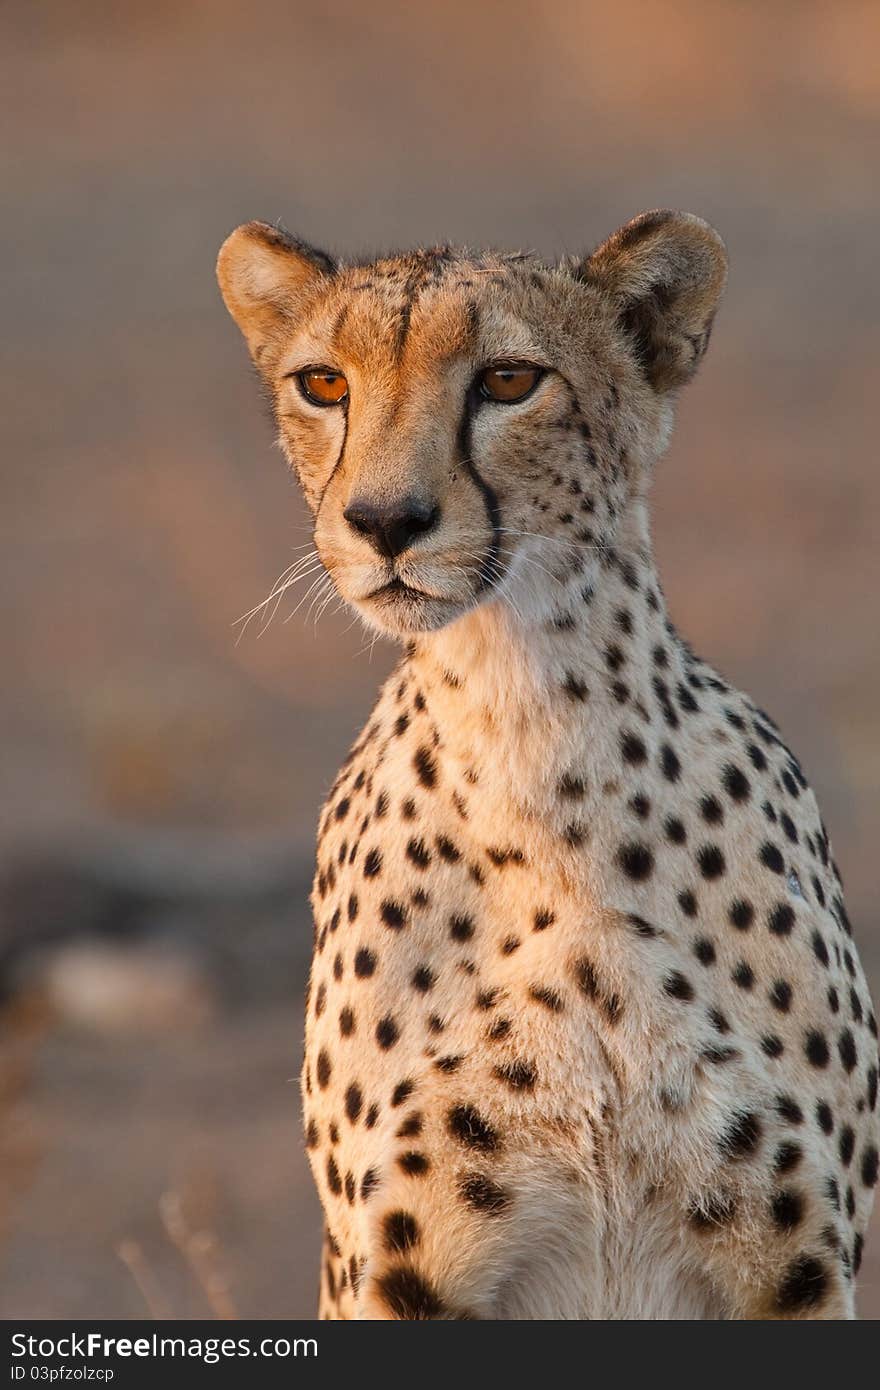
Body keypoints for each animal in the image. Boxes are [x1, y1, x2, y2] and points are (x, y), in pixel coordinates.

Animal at [216, 211, 873, 1317]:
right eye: (324, 383)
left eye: (510, 380)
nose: (384, 522)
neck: (529, 723)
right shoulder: (399, 1274)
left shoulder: (797, 1271)